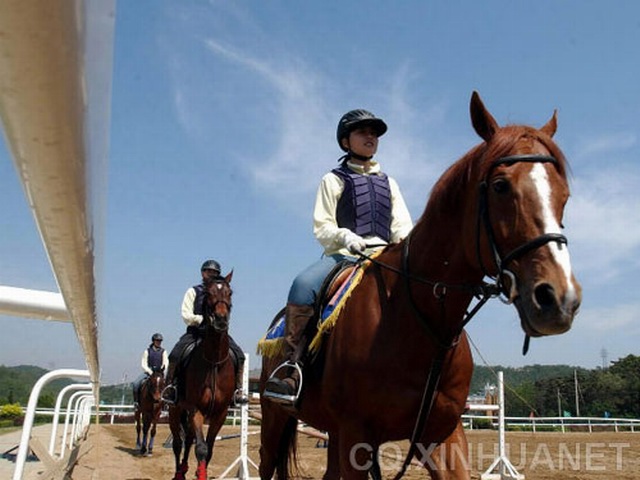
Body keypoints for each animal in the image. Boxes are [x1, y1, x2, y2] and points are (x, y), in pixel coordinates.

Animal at [169, 272, 236, 480]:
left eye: (230, 292)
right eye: (208, 293)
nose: (221, 320)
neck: (213, 361)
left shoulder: (220, 413)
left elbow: (210, 448)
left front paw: (200, 470)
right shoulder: (196, 409)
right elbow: (201, 448)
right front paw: (200, 473)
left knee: (189, 439)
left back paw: (184, 468)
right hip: (175, 409)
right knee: (178, 443)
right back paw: (178, 473)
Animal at [258, 91, 584, 480]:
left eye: (564, 194)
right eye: (501, 186)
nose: (558, 299)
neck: (419, 322)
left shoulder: (443, 434)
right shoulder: (356, 433)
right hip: (275, 416)